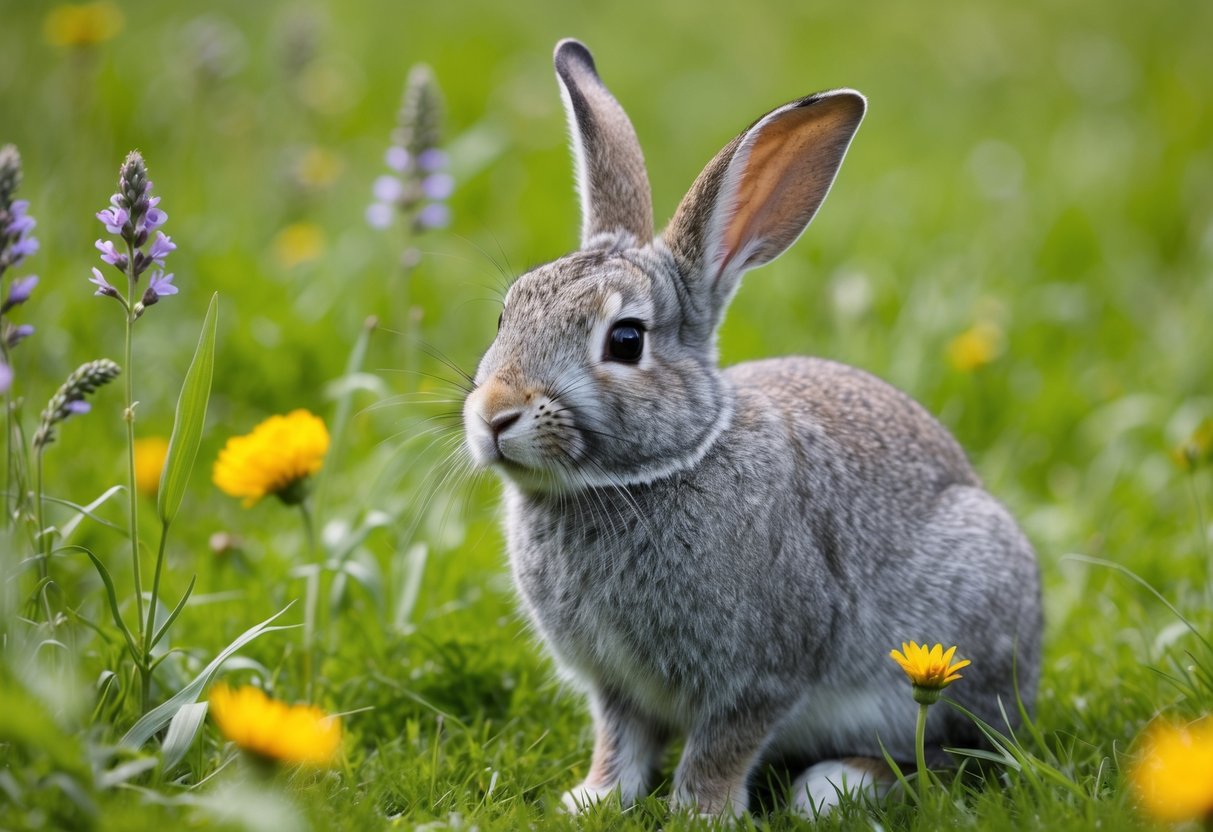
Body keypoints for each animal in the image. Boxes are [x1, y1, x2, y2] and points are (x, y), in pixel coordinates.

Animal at [462, 38, 1042, 818]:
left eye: (625, 341)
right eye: (506, 315)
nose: (494, 415)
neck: (656, 469)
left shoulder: (761, 673)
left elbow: (722, 744)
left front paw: (698, 812)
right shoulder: (616, 684)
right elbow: (619, 738)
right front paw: (595, 800)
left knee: (953, 756)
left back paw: (834, 786)